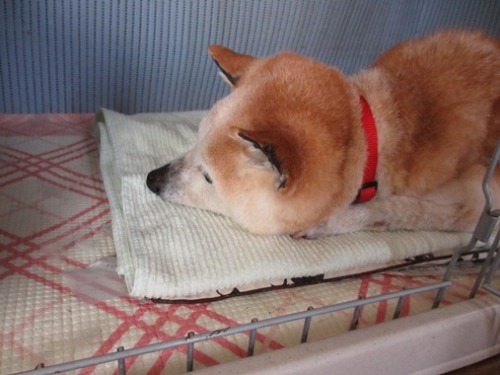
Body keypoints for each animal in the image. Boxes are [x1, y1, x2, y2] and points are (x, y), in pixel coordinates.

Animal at [146, 30, 500, 239]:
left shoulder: (481, 209)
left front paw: (329, 224)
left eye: (208, 177)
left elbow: (403, 210)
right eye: (195, 143)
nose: (152, 179)